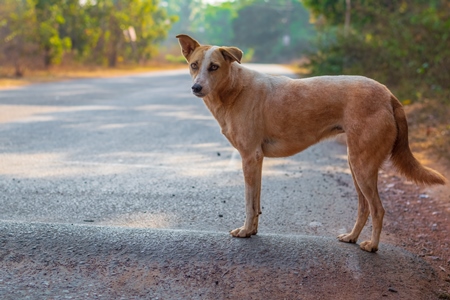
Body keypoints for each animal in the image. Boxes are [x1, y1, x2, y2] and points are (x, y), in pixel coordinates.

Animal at [176, 34, 446, 252]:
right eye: (194, 65)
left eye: (214, 67)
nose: (196, 87)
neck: (234, 89)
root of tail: (388, 94)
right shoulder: (257, 160)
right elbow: (257, 203)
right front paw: (252, 230)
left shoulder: (250, 157)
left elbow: (249, 203)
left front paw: (244, 231)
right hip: (356, 164)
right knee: (364, 207)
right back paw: (352, 237)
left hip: (362, 165)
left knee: (378, 209)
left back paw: (372, 246)